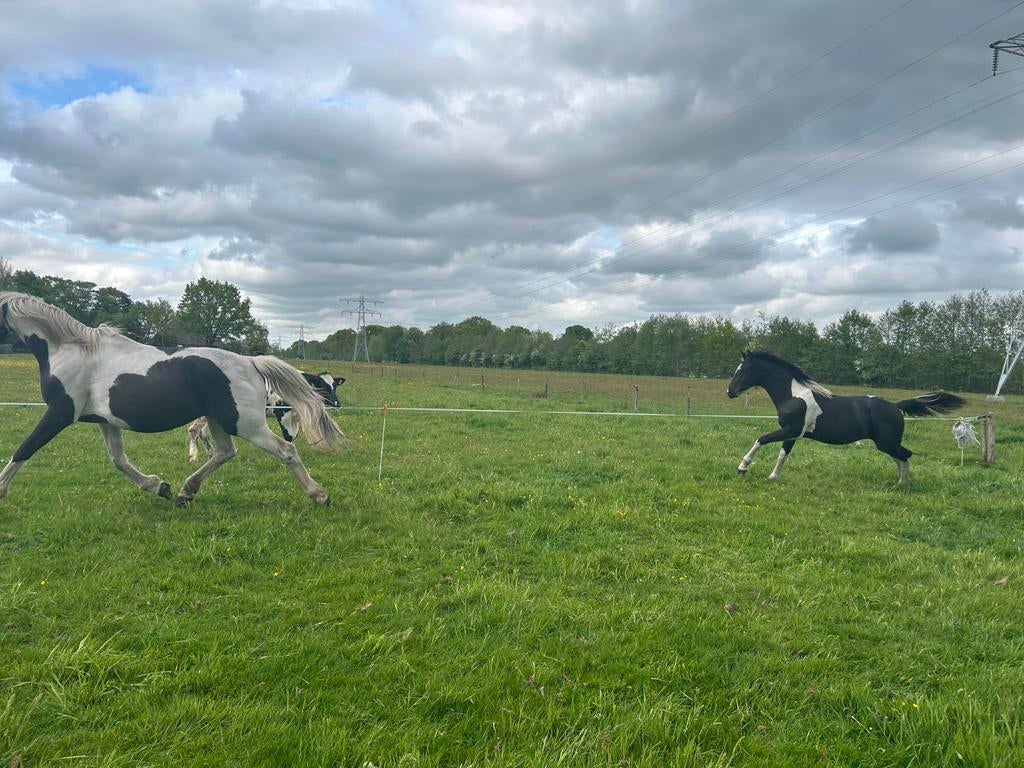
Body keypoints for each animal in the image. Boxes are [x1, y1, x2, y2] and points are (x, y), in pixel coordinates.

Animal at [186, 372, 345, 462]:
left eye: (335, 386)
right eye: (322, 385)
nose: (337, 403)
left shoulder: (295, 417)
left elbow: (294, 436)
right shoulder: (282, 413)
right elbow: (288, 437)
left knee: (203, 433)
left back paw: (211, 454)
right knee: (193, 430)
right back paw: (194, 456)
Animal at [726, 351, 966, 483]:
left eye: (743, 369)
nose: (730, 391)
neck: (795, 395)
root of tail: (896, 407)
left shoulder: (791, 430)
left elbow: (762, 439)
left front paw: (742, 467)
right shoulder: (793, 434)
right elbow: (783, 455)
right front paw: (773, 477)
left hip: (886, 442)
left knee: (905, 455)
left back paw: (901, 484)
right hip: (887, 443)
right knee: (901, 457)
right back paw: (901, 482)